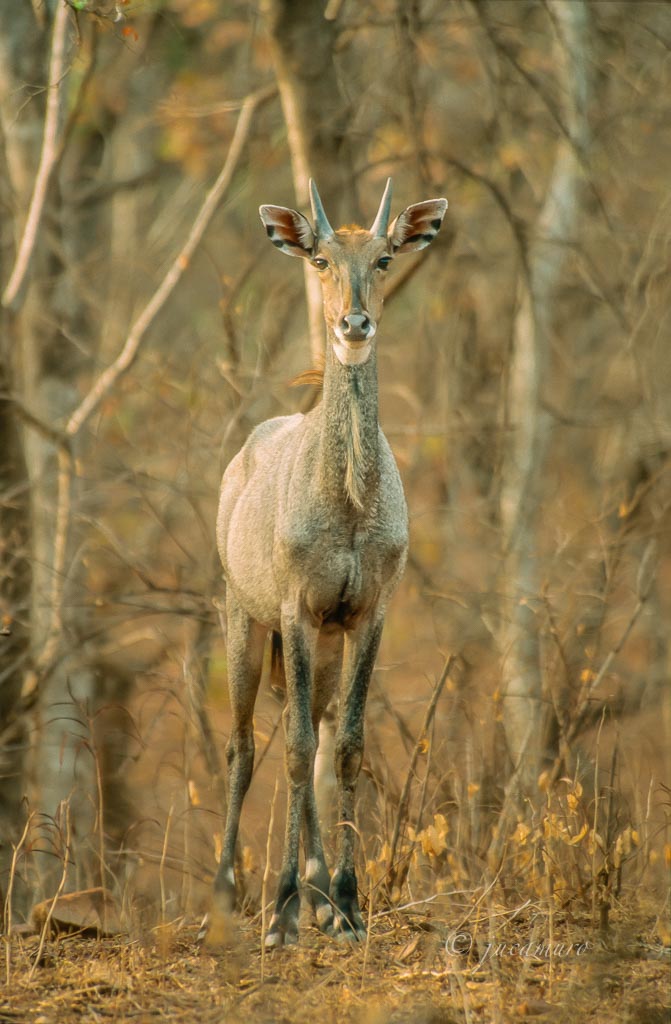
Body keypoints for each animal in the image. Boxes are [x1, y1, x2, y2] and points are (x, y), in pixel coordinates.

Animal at [213, 178, 448, 942]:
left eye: (383, 259)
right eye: (319, 259)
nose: (354, 324)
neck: (347, 503)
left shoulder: (367, 608)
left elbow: (344, 746)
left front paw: (347, 904)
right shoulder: (294, 606)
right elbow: (287, 751)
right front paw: (280, 911)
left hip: (319, 636)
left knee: (312, 728)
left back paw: (318, 893)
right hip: (244, 615)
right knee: (244, 742)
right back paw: (232, 892)